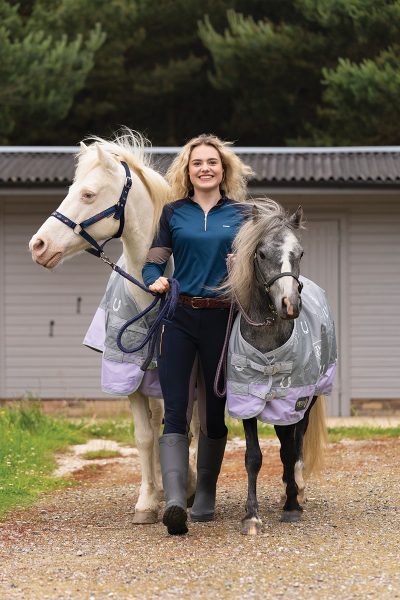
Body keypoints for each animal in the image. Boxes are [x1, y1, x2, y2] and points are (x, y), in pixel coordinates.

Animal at [28, 132, 198, 524]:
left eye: (88, 194)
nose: (38, 246)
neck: (152, 290)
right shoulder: (127, 373)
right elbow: (144, 436)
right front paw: (148, 502)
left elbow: (189, 427)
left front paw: (190, 487)